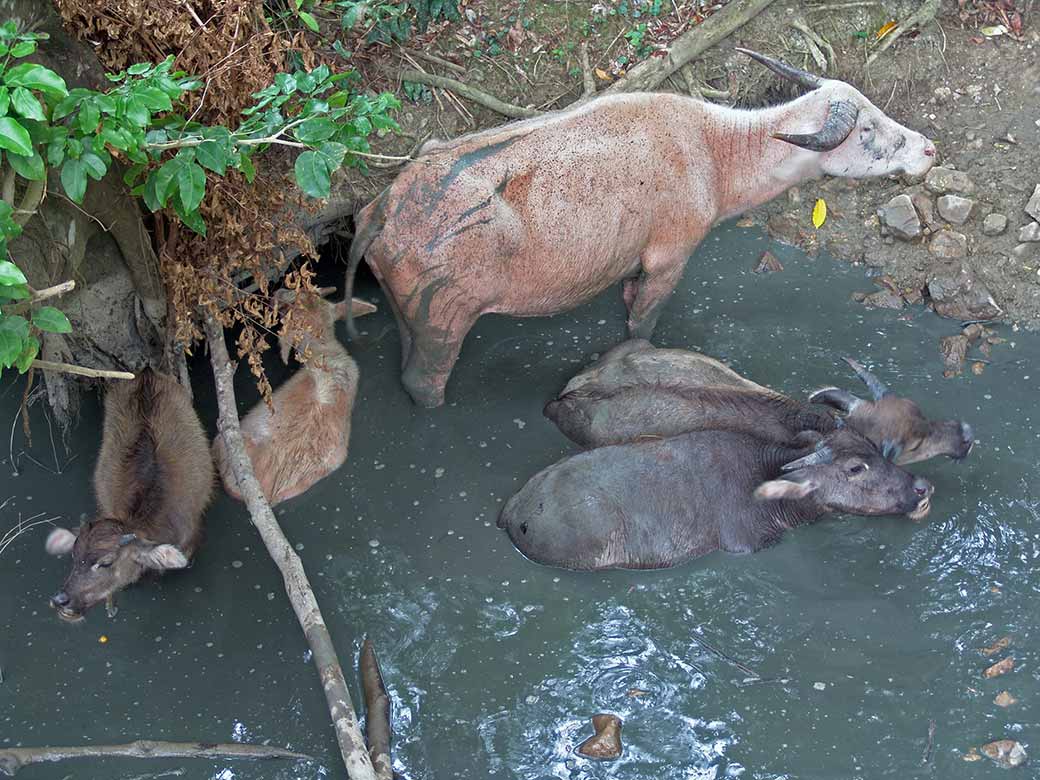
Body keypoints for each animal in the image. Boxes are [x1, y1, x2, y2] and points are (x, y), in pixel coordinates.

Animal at [345, 47, 940, 409]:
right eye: (867, 128)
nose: (929, 149)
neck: (713, 152)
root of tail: (385, 210)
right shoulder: (668, 260)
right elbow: (641, 325)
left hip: (408, 317)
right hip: (441, 323)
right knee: (423, 383)